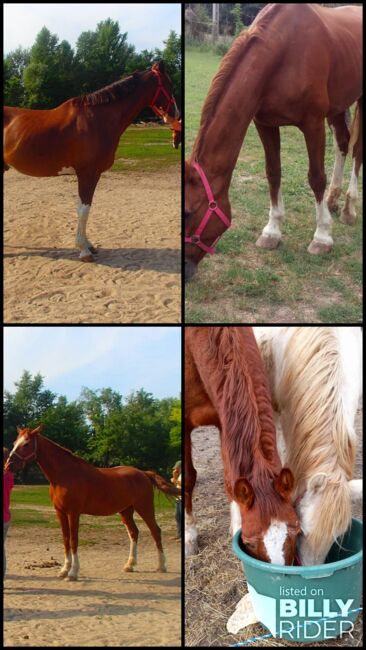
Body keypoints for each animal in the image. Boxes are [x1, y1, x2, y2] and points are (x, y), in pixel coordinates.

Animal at [3, 59, 179, 260]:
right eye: (169, 84)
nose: (176, 114)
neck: (96, 120)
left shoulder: (92, 175)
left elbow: (85, 209)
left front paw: (88, 245)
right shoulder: (87, 174)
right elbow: (83, 210)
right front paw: (84, 250)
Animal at [6, 422, 181, 580]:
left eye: (26, 444)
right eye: (14, 443)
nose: (8, 466)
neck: (64, 475)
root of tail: (144, 473)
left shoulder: (73, 513)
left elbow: (74, 540)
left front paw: (73, 573)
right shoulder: (60, 512)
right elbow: (66, 539)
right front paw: (64, 570)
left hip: (144, 508)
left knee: (155, 531)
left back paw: (161, 566)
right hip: (126, 511)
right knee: (134, 532)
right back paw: (129, 565)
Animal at [184, 3, 362, 280]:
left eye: (188, 212)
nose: (181, 269)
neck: (285, 51)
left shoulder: (312, 123)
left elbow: (316, 177)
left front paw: (322, 237)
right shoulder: (265, 124)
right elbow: (273, 173)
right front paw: (272, 232)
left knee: (356, 151)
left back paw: (349, 208)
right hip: (337, 105)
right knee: (343, 144)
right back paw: (333, 200)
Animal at [184, 326, 302, 564]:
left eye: (296, 531)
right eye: (249, 543)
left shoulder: (224, 420)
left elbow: (232, 480)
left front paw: (236, 526)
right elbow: (189, 478)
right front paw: (189, 537)